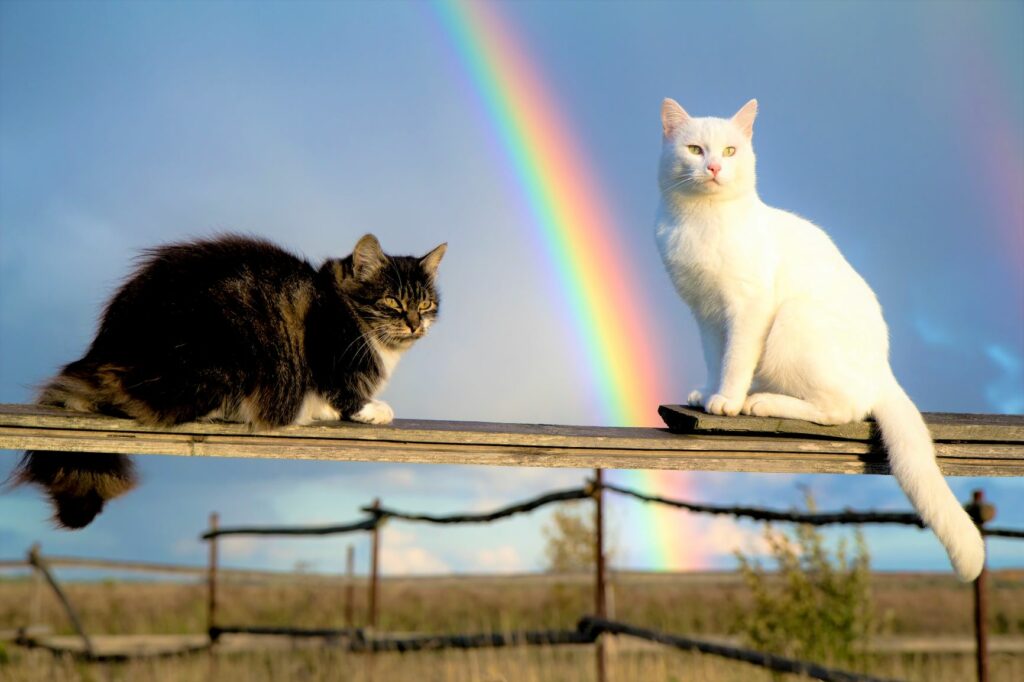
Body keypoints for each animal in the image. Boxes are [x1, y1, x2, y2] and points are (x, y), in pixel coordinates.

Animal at [655, 99, 983, 577]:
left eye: (731, 151)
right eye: (695, 149)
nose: (714, 167)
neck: (701, 220)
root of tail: (883, 370)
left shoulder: (748, 308)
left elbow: (735, 360)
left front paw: (727, 401)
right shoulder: (706, 314)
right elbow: (717, 358)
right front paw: (709, 392)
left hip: (794, 319)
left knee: (841, 409)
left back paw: (760, 402)